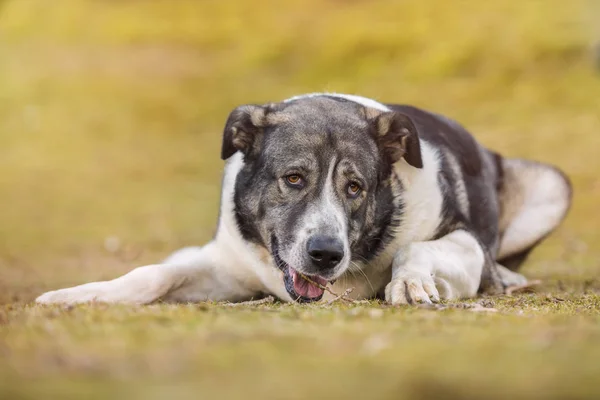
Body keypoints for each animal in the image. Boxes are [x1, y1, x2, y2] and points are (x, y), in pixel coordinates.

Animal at [34, 94, 572, 306]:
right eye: (293, 179)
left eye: (355, 187)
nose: (326, 254)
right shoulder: (227, 267)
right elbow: (153, 273)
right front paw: (78, 295)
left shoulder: (466, 245)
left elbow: (417, 248)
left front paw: (410, 282)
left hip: (553, 185)